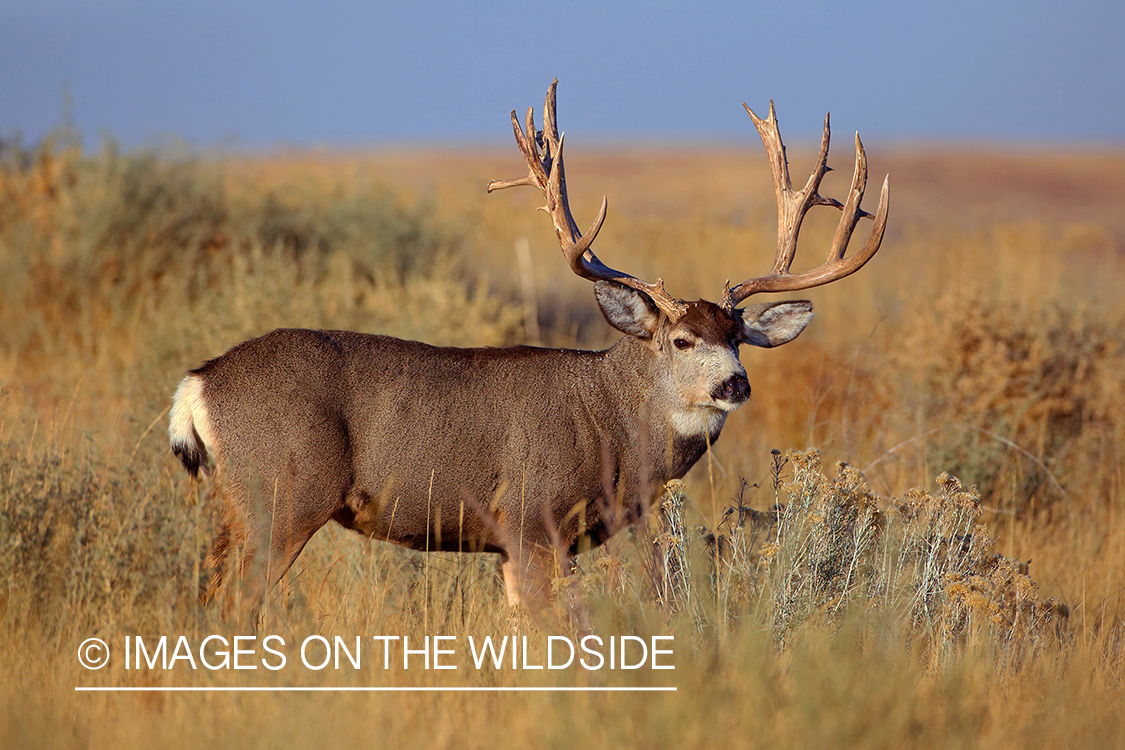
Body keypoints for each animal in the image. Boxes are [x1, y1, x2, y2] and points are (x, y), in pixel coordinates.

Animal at [166, 79, 886, 625]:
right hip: (281, 492)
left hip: (240, 501)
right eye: (682, 340)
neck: (611, 430)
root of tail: (198, 383)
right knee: (230, 601)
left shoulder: (516, 544)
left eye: (738, 340)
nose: (734, 384)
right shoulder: (531, 520)